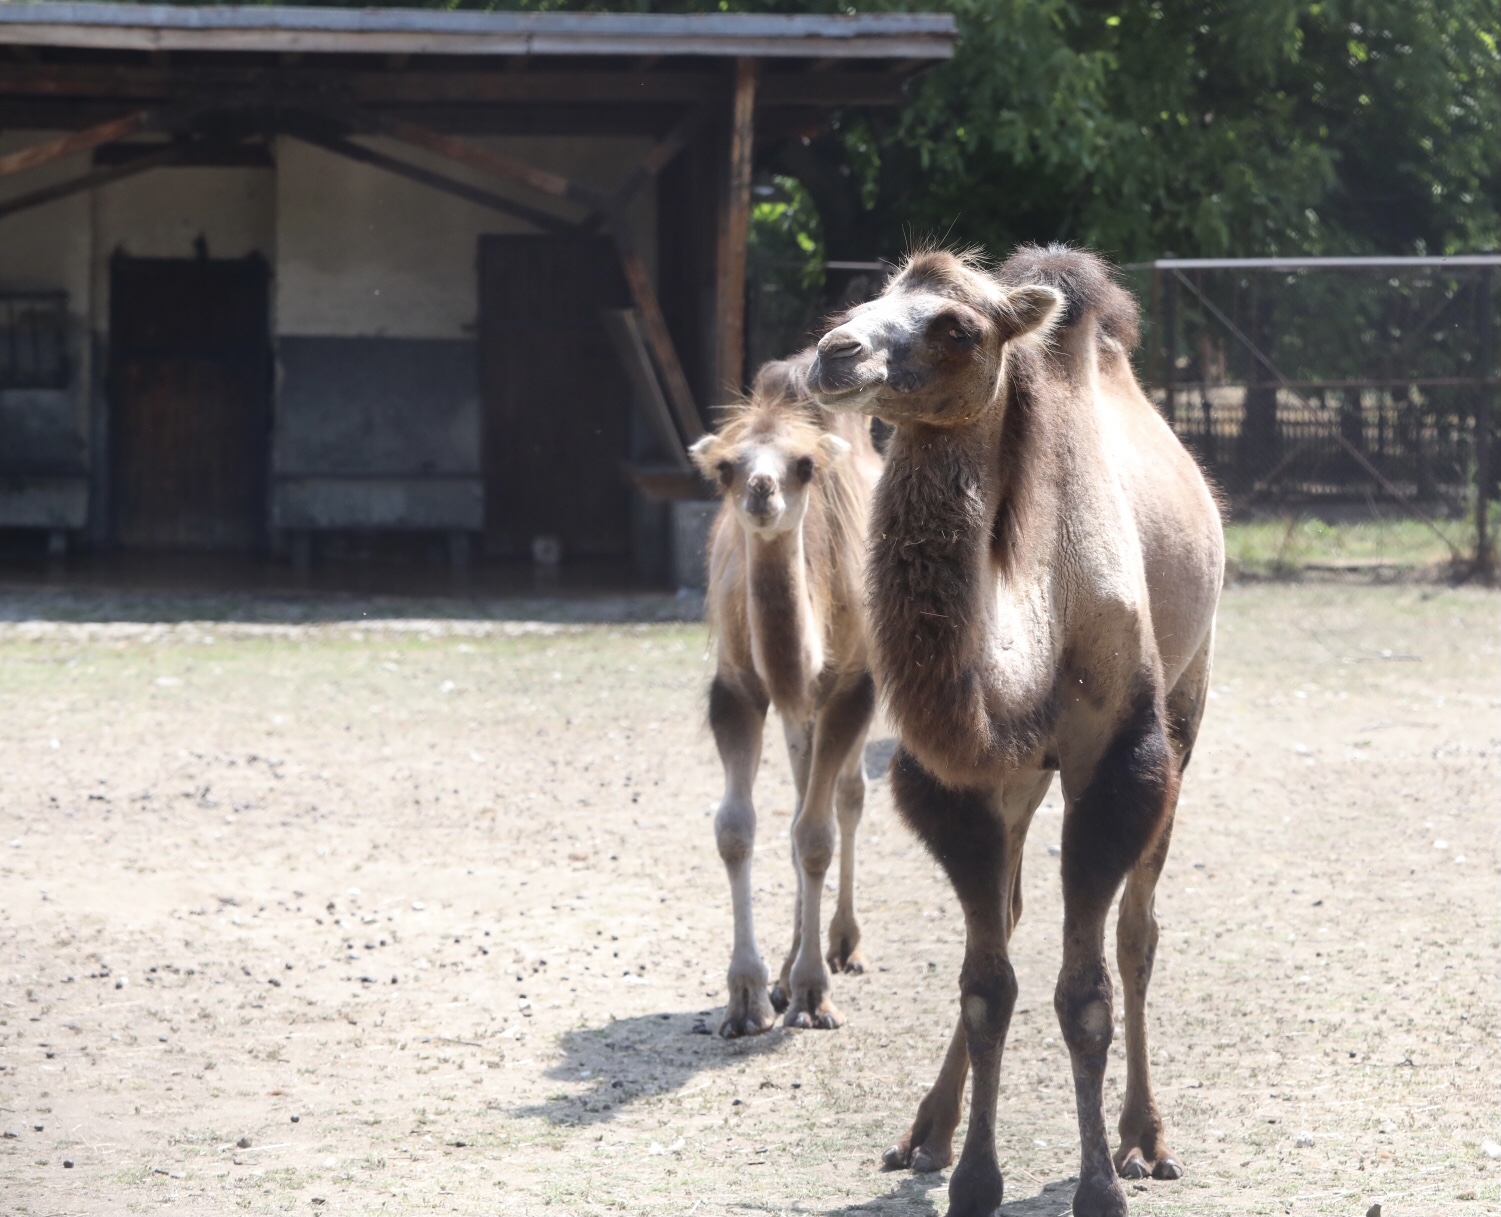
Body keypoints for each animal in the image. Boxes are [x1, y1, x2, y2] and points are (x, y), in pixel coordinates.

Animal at [687, 357, 882, 1044]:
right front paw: (747, 996)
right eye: (727, 466)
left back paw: (844, 946)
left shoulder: (852, 685)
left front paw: (813, 995)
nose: (762, 490)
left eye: (803, 465)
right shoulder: (737, 689)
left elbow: (818, 834)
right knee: (802, 796)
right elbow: (735, 829)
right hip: (798, 711)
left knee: (845, 798)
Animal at [810, 247, 1218, 1217]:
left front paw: (1099, 1185)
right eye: (866, 298)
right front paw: (971, 1177)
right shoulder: (965, 776)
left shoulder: (1116, 757)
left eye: (956, 326)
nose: (833, 353)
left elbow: (1086, 992)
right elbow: (986, 983)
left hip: (1188, 701)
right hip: (1026, 774)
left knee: (1137, 930)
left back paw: (1144, 1139)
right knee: (1008, 913)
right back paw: (926, 1132)